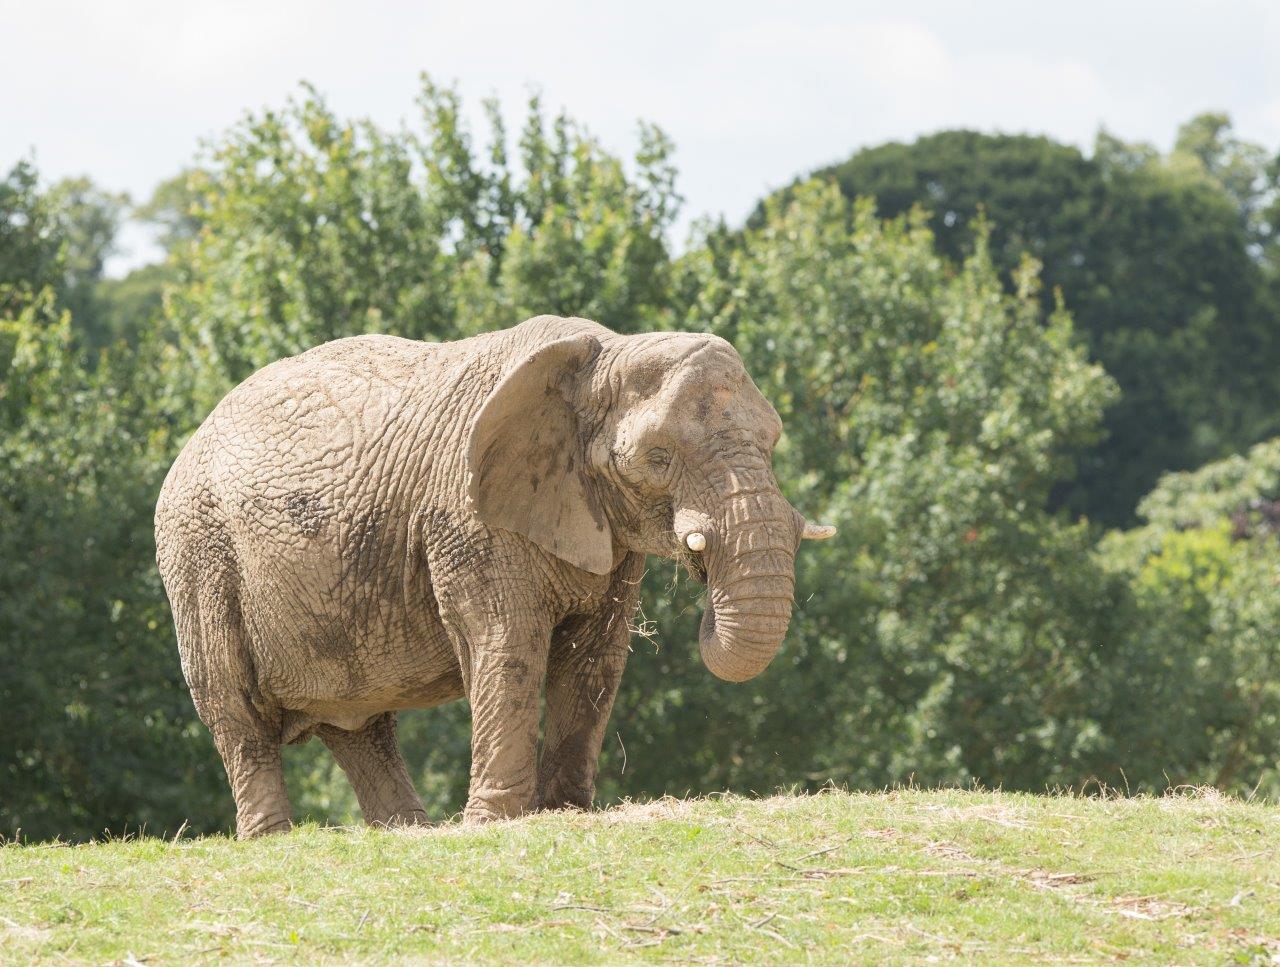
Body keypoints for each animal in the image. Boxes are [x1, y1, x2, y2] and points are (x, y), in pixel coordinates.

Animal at [154, 313, 834, 835]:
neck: (605, 351)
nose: (702, 582)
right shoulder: (466, 515)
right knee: (236, 710)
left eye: (773, 442)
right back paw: (274, 837)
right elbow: (507, 641)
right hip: (199, 554)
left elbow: (595, 658)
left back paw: (408, 832)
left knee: (362, 726)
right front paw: (496, 822)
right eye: (657, 458)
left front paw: (563, 812)